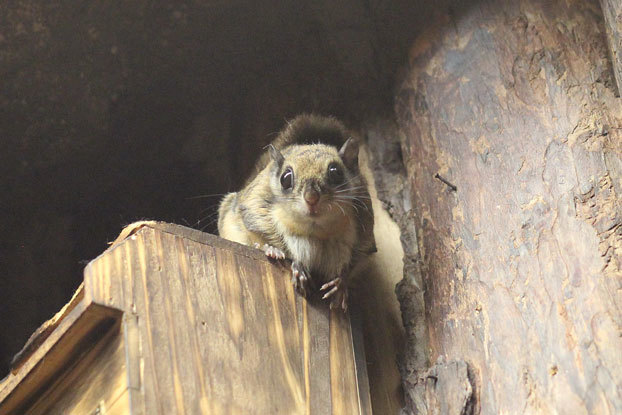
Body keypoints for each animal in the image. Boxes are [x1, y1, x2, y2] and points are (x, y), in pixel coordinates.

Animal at [217, 114, 378, 312]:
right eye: (285, 178)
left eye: (336, 172)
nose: (311, 198)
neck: (315, 228)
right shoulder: (255, 203)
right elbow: (260, 227)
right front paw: (290, 260)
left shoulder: (365, 222)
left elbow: (359, 257)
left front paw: (341, 283)